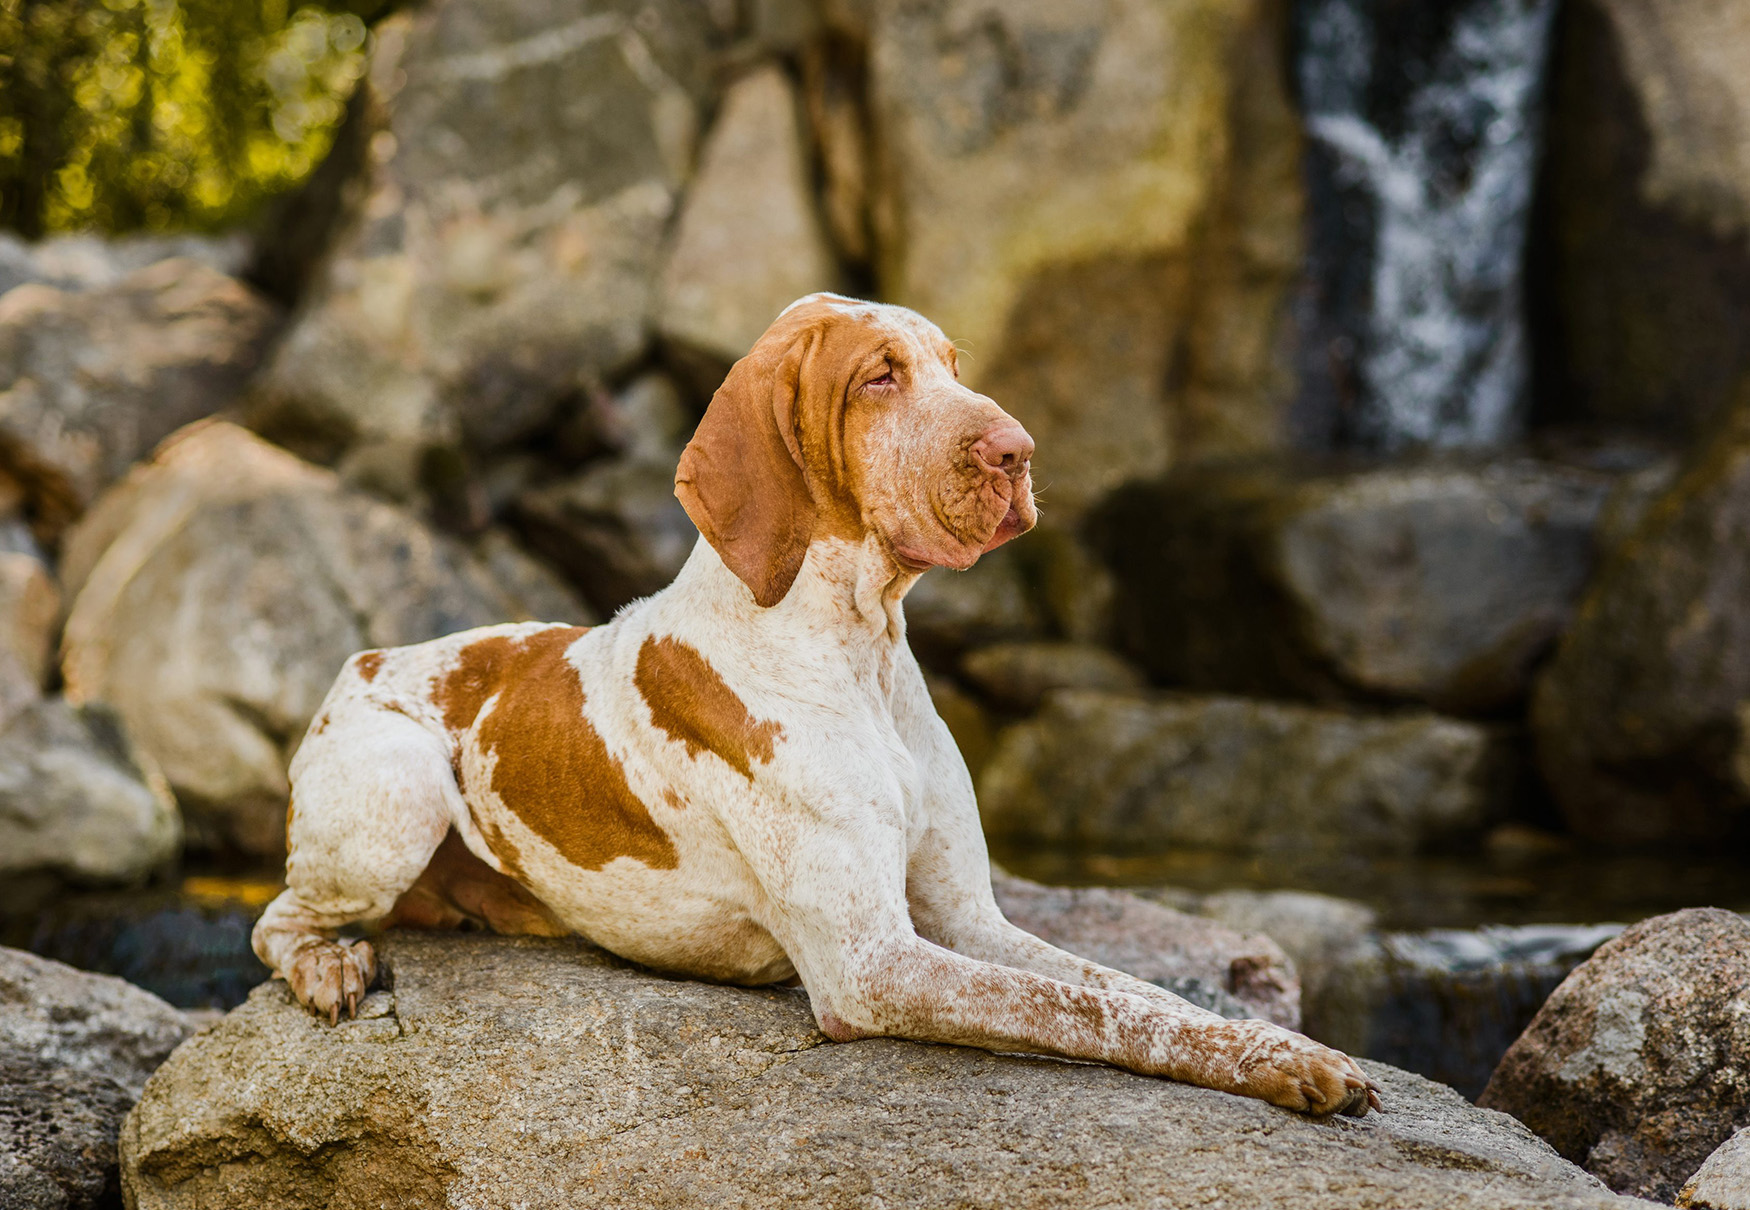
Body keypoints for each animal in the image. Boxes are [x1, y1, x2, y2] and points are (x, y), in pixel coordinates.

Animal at [253, 290, 1386, 1113]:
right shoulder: (872, 964)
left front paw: (1280, 1043)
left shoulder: (964, 917)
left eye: (953, 368)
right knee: (275, 923)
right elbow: (1079, 1011)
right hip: (394, 790)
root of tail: (365, 657)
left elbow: (1130, 992)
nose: (1017, 451)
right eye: (880, 376)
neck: (860, 654)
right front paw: (1280, 1063)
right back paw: (328, 969)